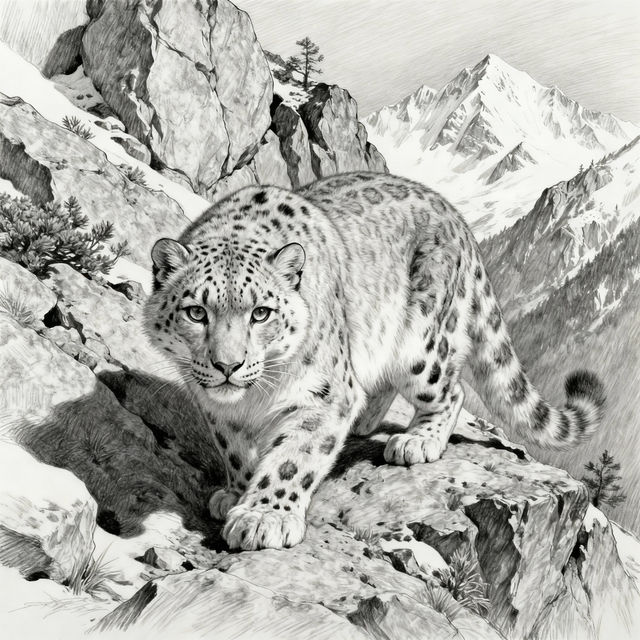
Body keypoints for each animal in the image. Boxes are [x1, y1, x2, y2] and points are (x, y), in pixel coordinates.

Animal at [144, 172, 605, 551]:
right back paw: (365, 422)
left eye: (261, 313)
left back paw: (416, 441)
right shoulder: (216, 409)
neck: (252, 399)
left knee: (450, 390)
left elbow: (294, 458)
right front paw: (237, 494)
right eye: (196, 312)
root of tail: (456, 218)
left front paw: (263, 518)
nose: (228, 365)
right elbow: (236, 452)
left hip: (420, 347)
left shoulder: (324, 395)